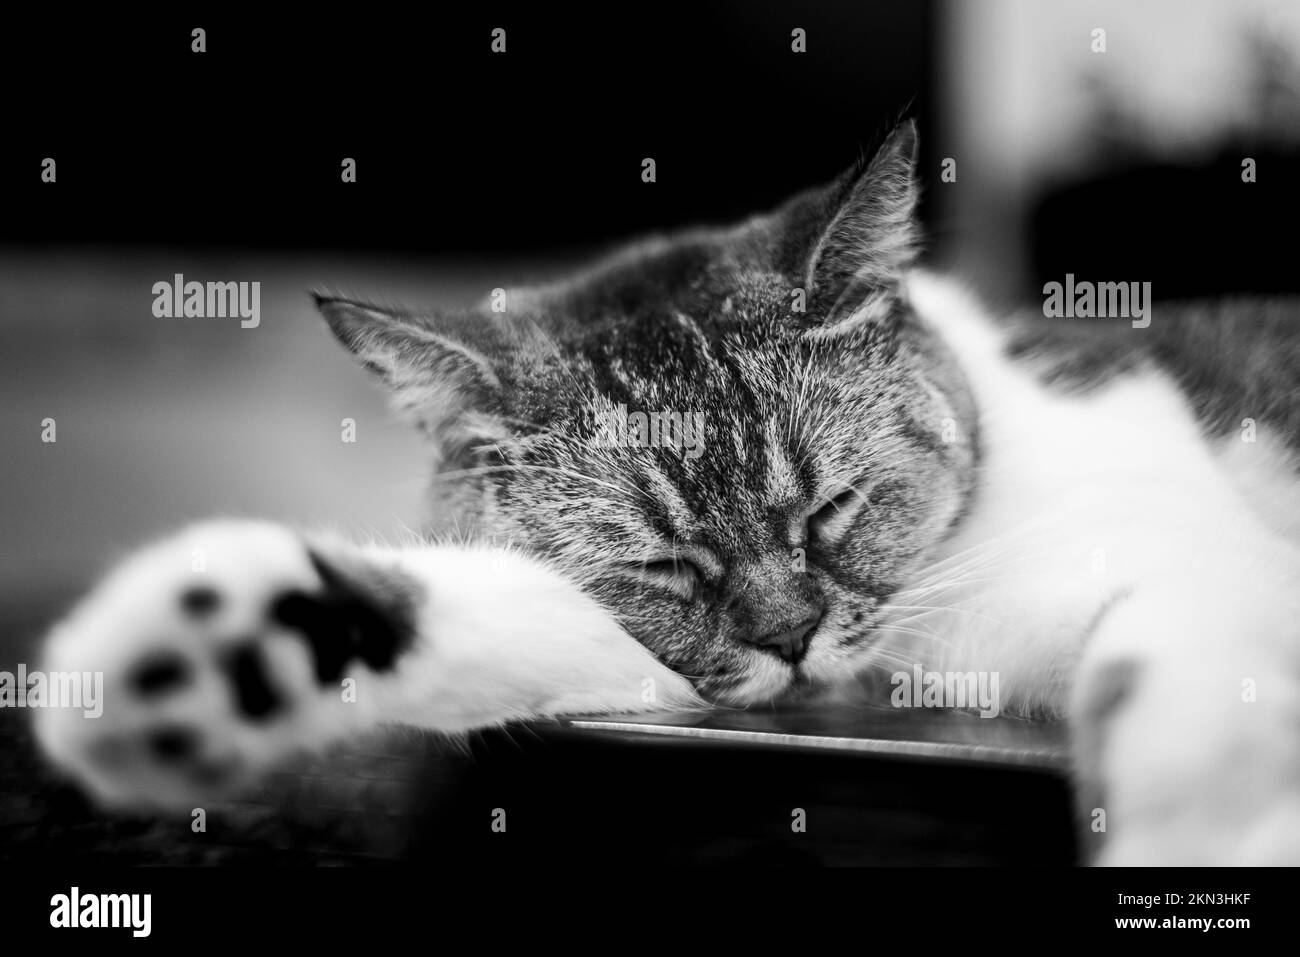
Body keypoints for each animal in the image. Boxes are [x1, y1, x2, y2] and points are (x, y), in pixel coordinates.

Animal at [30, 123, 1300, 863]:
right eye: (660, 567)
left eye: (829, 509)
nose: (790, 639)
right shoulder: (653, 670)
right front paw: (205, 656)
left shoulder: (1199, 573)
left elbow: (1194, 710)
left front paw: (1206, 840)